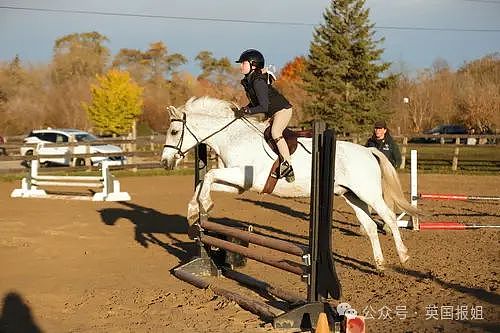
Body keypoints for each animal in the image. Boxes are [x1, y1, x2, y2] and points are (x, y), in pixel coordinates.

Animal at [161, 95, 418, 270]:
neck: (233, 138)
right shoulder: (239, 184)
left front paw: (205, 204)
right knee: (371, 226)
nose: (165, 162)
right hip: (352, 195)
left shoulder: (244, 176)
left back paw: (404, 257)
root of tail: (368, 151)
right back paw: (380, 263)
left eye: (174, 132)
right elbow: (203, 183)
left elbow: (210, 175)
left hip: (368, 193)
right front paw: (194, 214)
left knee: (389, 218)